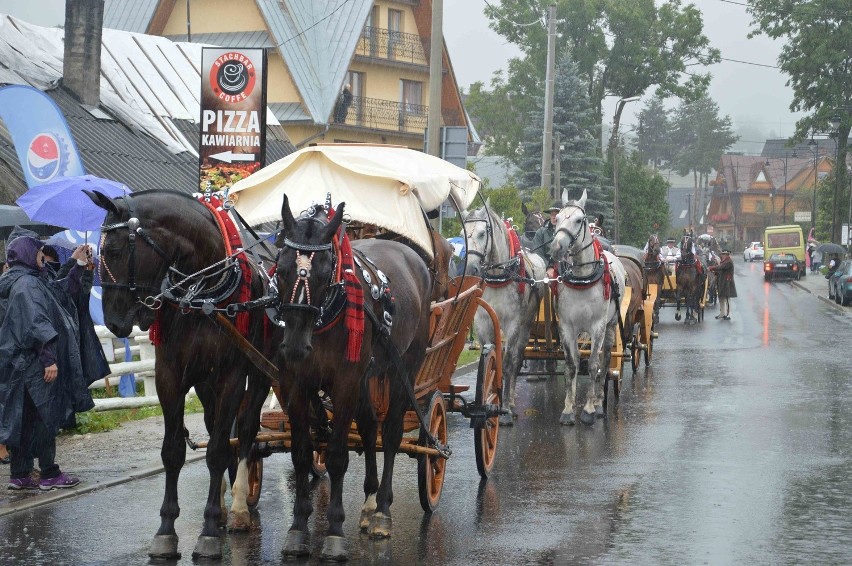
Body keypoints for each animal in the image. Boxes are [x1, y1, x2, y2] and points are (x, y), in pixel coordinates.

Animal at [272, 195, 432, 564]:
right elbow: (302, 454)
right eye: (281, 268)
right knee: (370, 425)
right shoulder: (297, 386)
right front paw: (298, 529)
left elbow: (336, 456)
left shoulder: (344, 384)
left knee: (390, 433)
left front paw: (333, 532)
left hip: (404, 365)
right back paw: (370, 502)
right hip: (366, 376)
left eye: (322, 272)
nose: (295, 346)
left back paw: (382, 510)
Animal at [462, 204, 548, 426]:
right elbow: (491, 361)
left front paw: (506, 408)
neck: (498, 278)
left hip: (526, 327)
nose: (471, 268)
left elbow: (508, 363)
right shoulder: (483, 323)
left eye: (483, 233)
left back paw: (510, 401)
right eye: (464, 234)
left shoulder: (513, 324)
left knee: (516, 359)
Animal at [552, 190, 624, 426]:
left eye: (578, 220)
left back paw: (600, 401)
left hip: (611, 326)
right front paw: (568, 409)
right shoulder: (566, 326)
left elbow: (593, 365)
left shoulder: (597, 326)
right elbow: (571, 365)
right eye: (557, 218)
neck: (582, 278)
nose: (557, 247)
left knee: (606, 359)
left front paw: (589, 409)